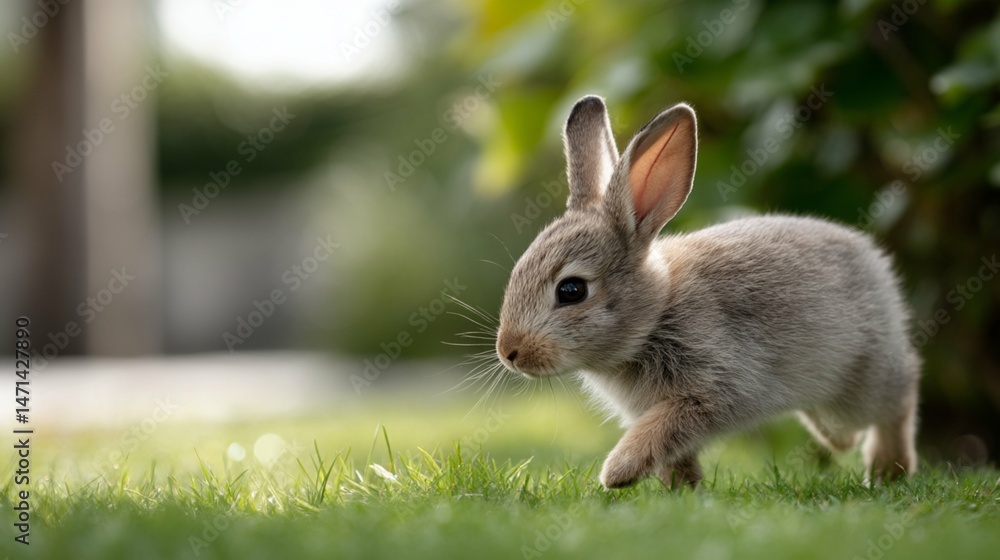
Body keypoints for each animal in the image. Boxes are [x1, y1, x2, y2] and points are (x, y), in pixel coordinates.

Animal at [495, 96, 919, 489]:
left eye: (571, 290)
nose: (509, 352)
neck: (656, 315)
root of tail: (872, 258)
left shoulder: (716, 386)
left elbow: (663, 429)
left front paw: (617, 472)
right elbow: (674, 454)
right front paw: (682, 492)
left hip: (861, 380)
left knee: (899, 396)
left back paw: (887, 470)